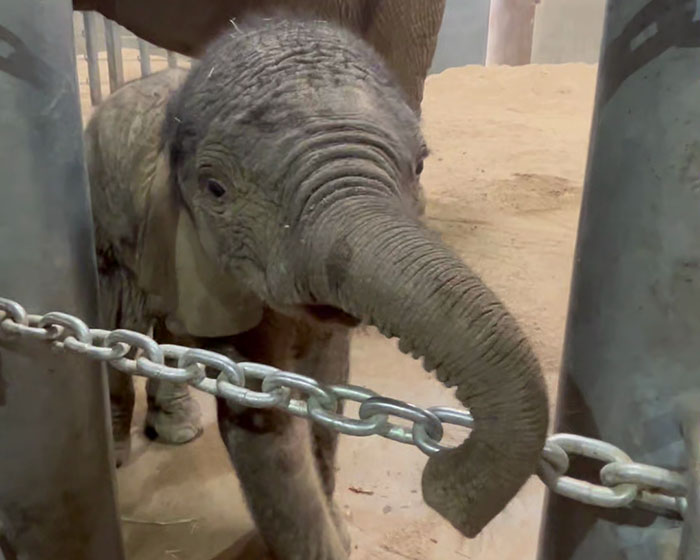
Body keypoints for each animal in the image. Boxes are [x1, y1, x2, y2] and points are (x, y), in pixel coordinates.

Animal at [85, 13, 548, 560]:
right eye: (215, 189)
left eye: (420, 164)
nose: (442, 489)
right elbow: (263, 418)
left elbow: (327, 386)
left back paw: (177, 430)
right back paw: (118, 456)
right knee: (117, 322)